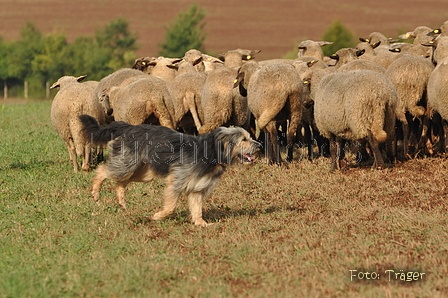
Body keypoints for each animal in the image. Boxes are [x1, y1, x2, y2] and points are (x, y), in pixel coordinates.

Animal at [78, 115, 260, 227]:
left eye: (249, 137)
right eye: (244, 139)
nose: (259, 145)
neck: (210, 152)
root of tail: (128, 127)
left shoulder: (197, 188)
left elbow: (197, 208)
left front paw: (200, 223)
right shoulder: (176, 181)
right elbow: (171, 207)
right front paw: (158, 216)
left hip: (143, 172)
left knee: (121, 183)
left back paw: (122, 202)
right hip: (126, 164)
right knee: (103, 170)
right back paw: (95, 193)